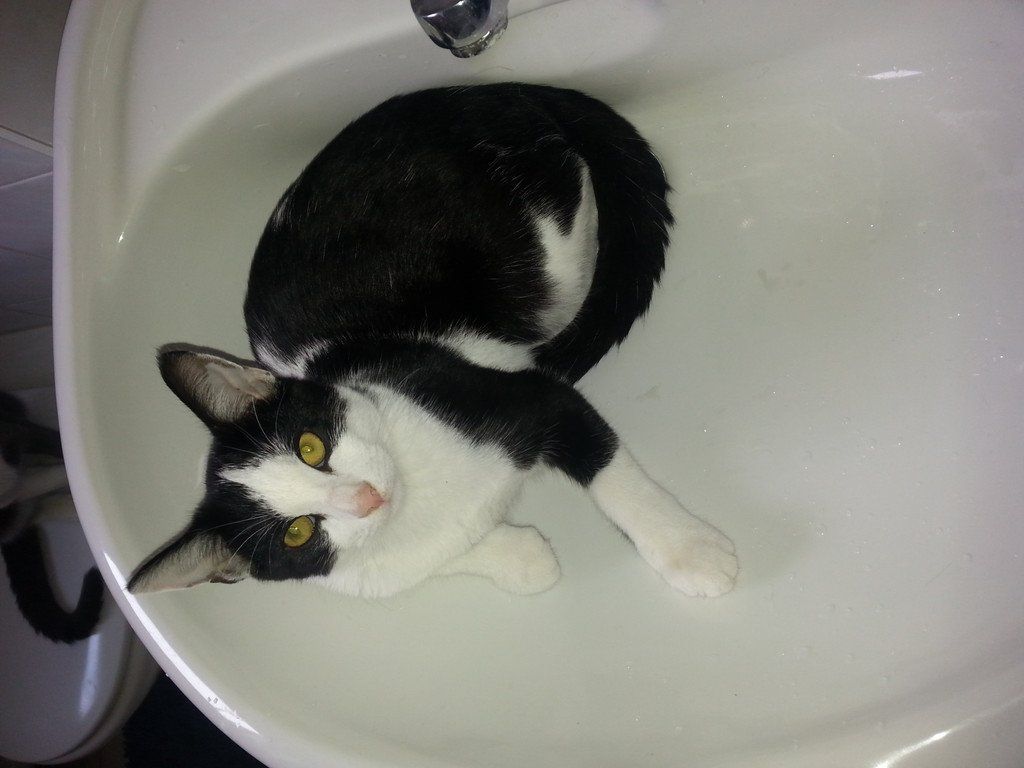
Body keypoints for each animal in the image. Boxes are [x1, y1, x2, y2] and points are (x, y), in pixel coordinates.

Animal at [128, 83, 738, 599]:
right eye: (297, 533)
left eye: (310, 447)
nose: (366, 497)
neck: (413, 494)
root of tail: (487, 89)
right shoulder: (372, 574)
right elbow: (456, 559)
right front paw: (523, 557)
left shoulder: (519, 396)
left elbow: (610, 470)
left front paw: (689, 550)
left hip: (543, 246)